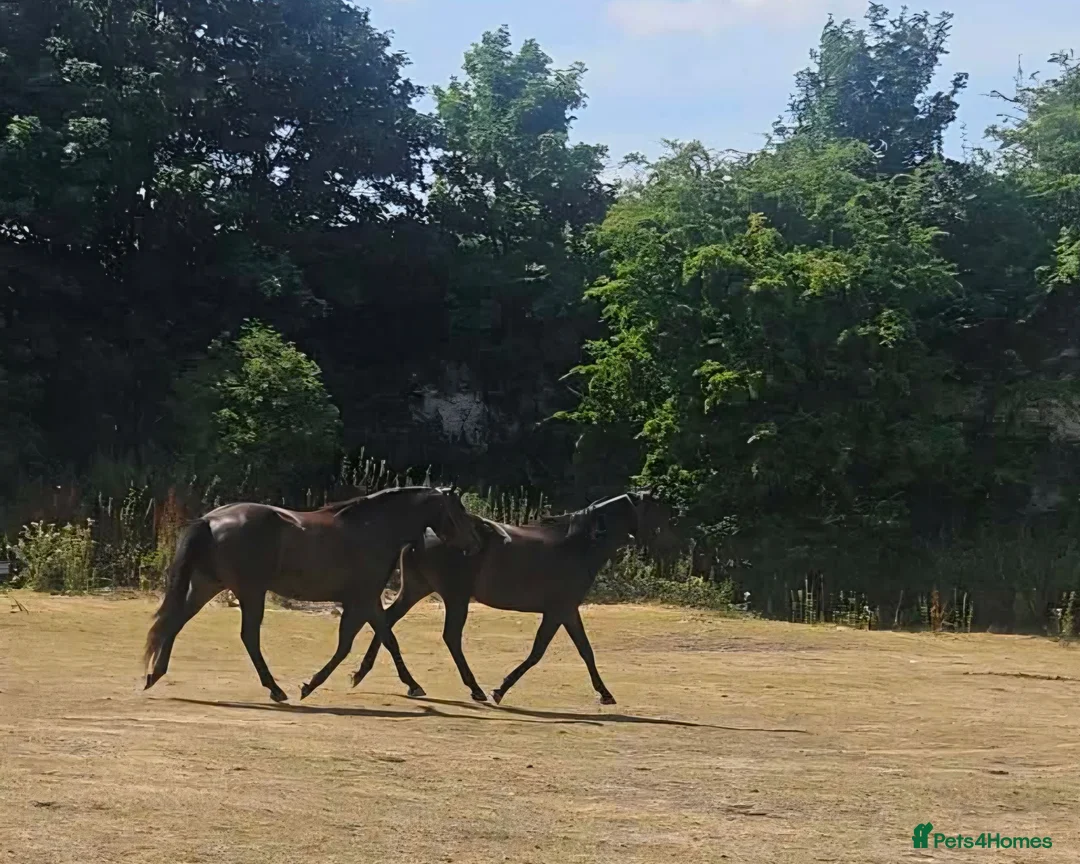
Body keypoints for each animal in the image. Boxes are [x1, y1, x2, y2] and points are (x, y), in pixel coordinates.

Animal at [142, 486, 511, 703]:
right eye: (458, 511)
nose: (476, 544)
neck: (374, 529)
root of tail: (210, 519)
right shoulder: (362, 599)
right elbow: (356, 643)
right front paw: (311, 685)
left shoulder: (367, 600)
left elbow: (384, 639)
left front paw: (401, 682)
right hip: (250, 591)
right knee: (248, 637)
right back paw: (275, 689)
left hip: (207, 585)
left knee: (175, 622)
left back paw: (153, 676)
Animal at [350, 491, 677, 706]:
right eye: (655, 509)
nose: (669, 543)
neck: (579, 544)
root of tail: (421, 535)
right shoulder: (557, 611)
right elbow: (538, 652)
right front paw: (500, 690)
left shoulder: (568, 611)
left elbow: (585, 651)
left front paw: (605, 693)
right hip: (455, 597)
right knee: (450, 637)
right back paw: (474, 689)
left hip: (416, 590)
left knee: (387, 622)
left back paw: (381, 677)